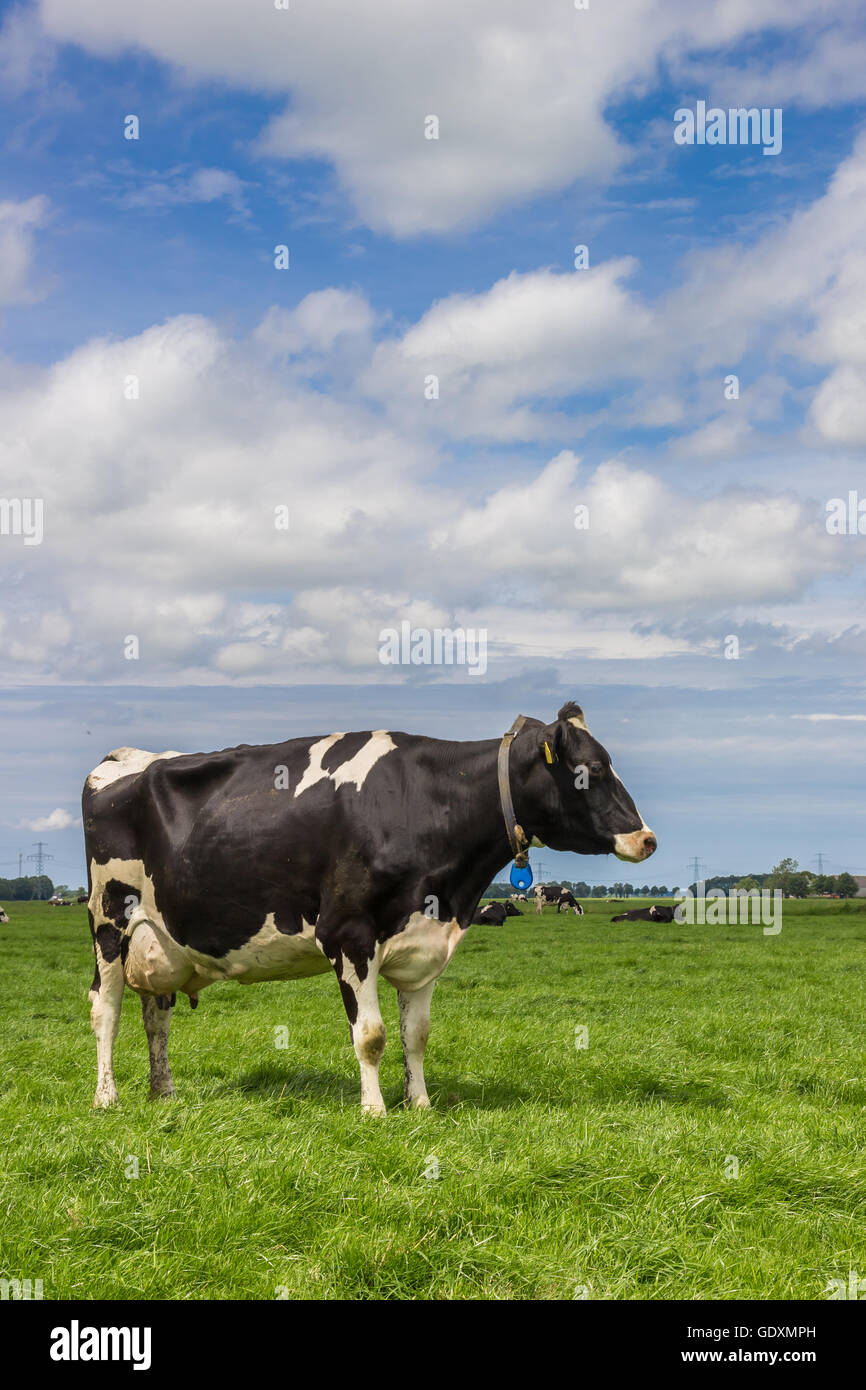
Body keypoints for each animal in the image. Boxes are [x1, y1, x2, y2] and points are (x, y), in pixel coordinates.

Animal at [83, 700, 655, 1114]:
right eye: (589, 770)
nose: (647, 839)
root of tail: (124, 758)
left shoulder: (425, 943)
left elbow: (416, 1035)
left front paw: (420, 1103)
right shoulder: (348, 935)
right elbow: (372, 1036)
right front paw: (375, 1110)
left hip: (161, 942)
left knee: (156, 1016)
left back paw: (164, 1092)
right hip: (109, 922)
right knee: (106, 1008)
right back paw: (107, 1096)